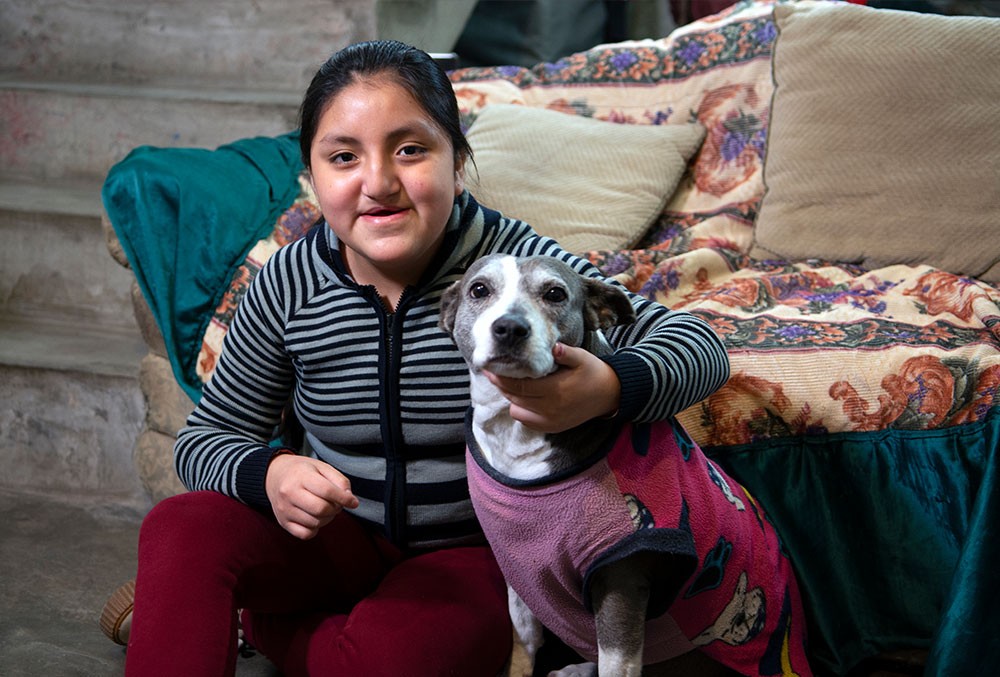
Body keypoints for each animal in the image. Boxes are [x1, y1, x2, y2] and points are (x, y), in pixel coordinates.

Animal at [440, 254, 812, 676]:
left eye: (555, 293)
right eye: (479, 289)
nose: (510, 328)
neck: (516, 434)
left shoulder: (621, 583)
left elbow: (615, 662)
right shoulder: (519, 576)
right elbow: (523, 648)